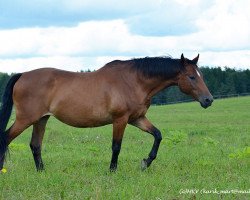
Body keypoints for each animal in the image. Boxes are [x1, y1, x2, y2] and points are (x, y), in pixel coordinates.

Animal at [0, 53, 213, 172]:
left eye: (201, 75)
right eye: (191, 76)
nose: (208, 100)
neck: (134, 81)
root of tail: (22, 75)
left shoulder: (137, 118)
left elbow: (158, 135)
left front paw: (146, 163)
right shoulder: (121, 120)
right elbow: (116, 146)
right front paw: (112, 171)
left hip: (41, 119)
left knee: (35, 145)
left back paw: (42, 171)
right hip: (26, 119)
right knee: (6, 138)